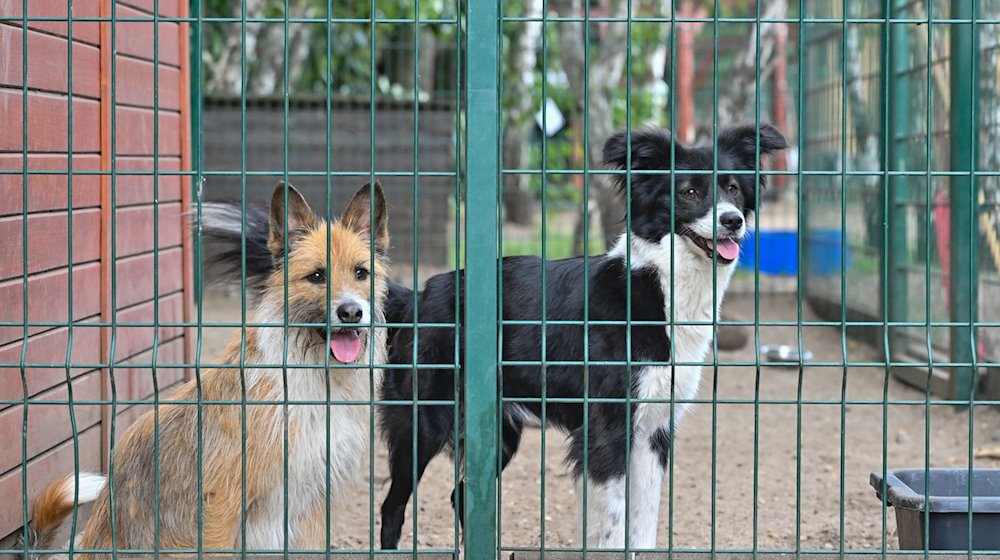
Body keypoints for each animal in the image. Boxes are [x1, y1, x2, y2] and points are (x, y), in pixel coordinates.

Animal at [23, 183, 390, 556]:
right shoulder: (221, 503)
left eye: (361, 272)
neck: (313, 374)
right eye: (317, 275)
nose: (351, 312)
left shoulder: (314, 504)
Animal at [378, 122, 784, 548]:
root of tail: (421, 294)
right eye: (689, 191)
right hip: (422, 421)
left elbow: (642, 528)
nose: (733, 220)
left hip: (497, 432)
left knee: (459, 496)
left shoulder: (653, 433)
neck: (658, 286)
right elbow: (611, 530)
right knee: (392, 507)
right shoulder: (607, 430)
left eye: (733, 188)